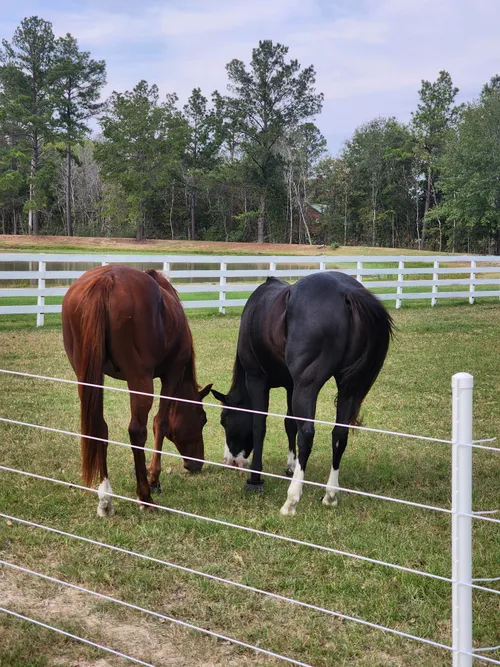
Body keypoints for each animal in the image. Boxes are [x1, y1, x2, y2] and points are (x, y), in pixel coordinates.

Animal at [62, 265, 212, 516]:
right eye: (202, 419)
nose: (196, 464)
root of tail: (106, 280)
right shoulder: (172, 374)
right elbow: (160, 423)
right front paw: (154, 478)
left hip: (87, 377)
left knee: (99, 429)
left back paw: (105, 499)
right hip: (139, 379)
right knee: (136, 431)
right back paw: (145, 496)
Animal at [211, 271, 393, 516]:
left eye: (225, 420)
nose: (229, 461)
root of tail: (346, 292)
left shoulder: (256, 380)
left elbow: (260, 426)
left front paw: (255, 480)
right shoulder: (291, 385)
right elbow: (289, 423)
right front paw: (290, 465)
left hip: (307, 386)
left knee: (307, 434)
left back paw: (292, 499)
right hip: (347, 387)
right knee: (339, 434)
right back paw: (330, 495)